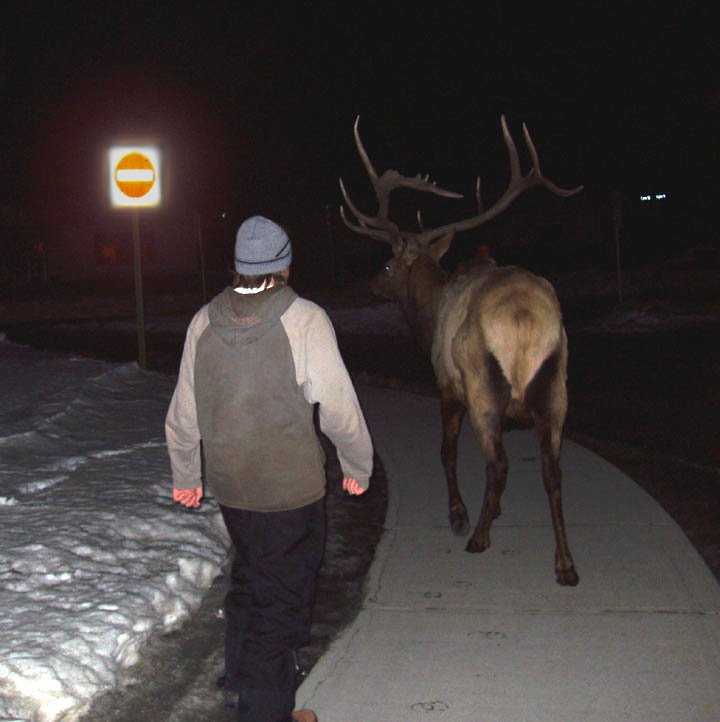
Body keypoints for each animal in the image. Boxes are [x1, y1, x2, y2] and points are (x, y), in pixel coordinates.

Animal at [340, 115, 584, 584]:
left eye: (387, 263)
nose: (369, 284)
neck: (431, 313)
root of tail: (525, 318)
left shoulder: (447, 384)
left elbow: (447, 451)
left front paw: (459, 513)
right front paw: (493, 509)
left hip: (483, 384)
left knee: (499, 462)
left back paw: (478, 537)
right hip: (556, 382)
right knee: (553, 470)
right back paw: (565, 564)